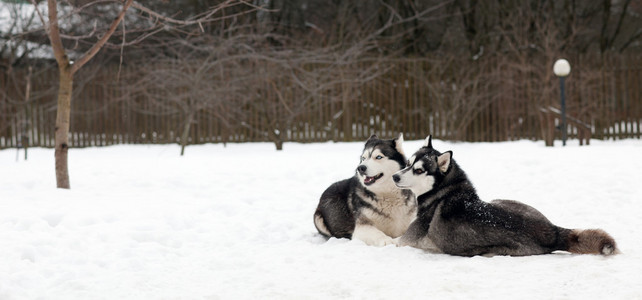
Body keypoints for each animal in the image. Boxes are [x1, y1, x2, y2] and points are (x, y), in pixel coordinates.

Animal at [390, 136, 616, 255]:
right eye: (408, 163)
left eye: (419, 170)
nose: (394, 176)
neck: (442, 191)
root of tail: (552, 232)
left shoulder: (405, 242)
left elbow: (391, 240)